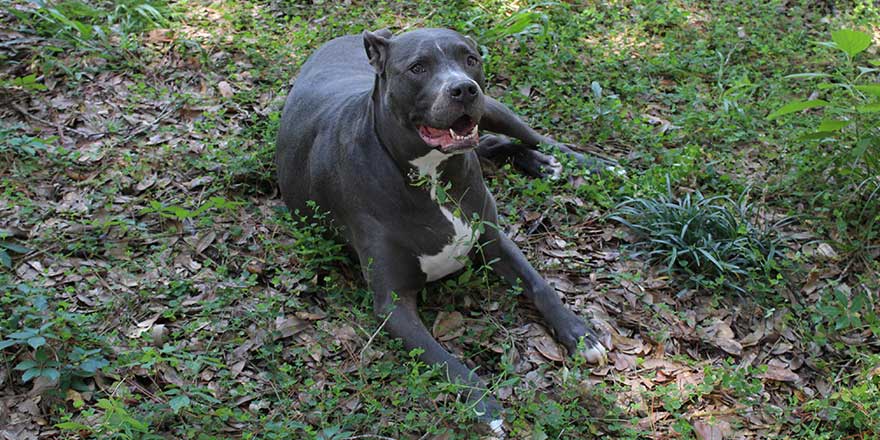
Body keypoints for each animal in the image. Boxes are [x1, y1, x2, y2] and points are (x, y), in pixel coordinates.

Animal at [278, 28, 608, 436]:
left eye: (470, 58)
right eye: (417, 67)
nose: (463, 88)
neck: (432, 174)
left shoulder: (494, 240)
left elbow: (540, 285)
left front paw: (581, 334)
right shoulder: (393, 304)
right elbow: (443, 358)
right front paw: (487, 407)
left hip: (494, 108)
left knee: (535, 137)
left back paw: (591, 164)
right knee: (492, 145)